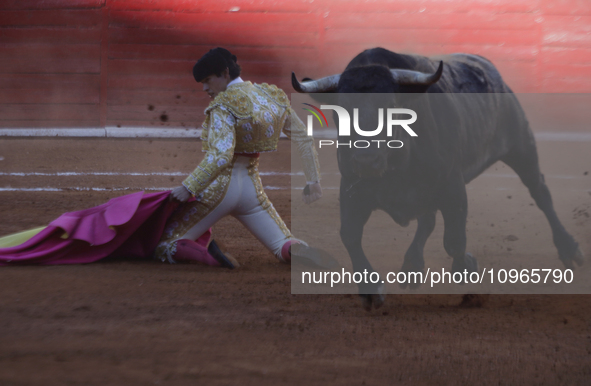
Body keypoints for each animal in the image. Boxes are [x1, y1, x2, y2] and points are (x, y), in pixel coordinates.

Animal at [292, 46, 584, 310]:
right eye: (341, 109)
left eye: (391, 105)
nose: (366, 160)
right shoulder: (351, 190)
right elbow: (350, 236)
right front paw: (371, 290)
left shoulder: (452, 187)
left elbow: (454, 241)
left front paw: (466, 267)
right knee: (427, 220)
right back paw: (412, 266)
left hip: (521, 144)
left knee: (541, 193)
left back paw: (569, 249)